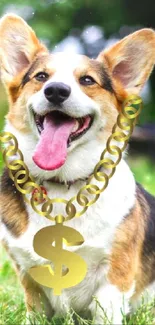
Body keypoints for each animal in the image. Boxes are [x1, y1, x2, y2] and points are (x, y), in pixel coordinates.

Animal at [0, 13, 155, 322]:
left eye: (87, 80)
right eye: (41, 77)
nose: (56, 91)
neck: (62, 184)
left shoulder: (113, 279)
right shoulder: (30, 278)